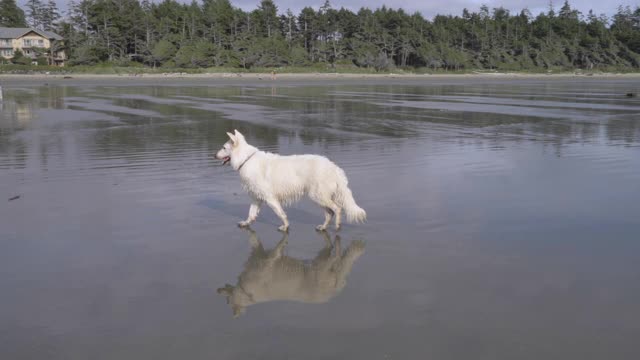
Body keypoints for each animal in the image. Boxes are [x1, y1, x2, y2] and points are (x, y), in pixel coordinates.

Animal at [215, 129, 364, 231]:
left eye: (223, 148)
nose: (214, 155)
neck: (246, 159)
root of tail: (334, 167)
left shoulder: (270, 198)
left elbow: (281, 214)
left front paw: (285, 226)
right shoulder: (256, 198)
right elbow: (251, 214)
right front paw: (246, 223)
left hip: (318, 196)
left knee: (337, 209)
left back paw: (337, 226)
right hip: (319, 197)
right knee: (329, 213)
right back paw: (323, 227)